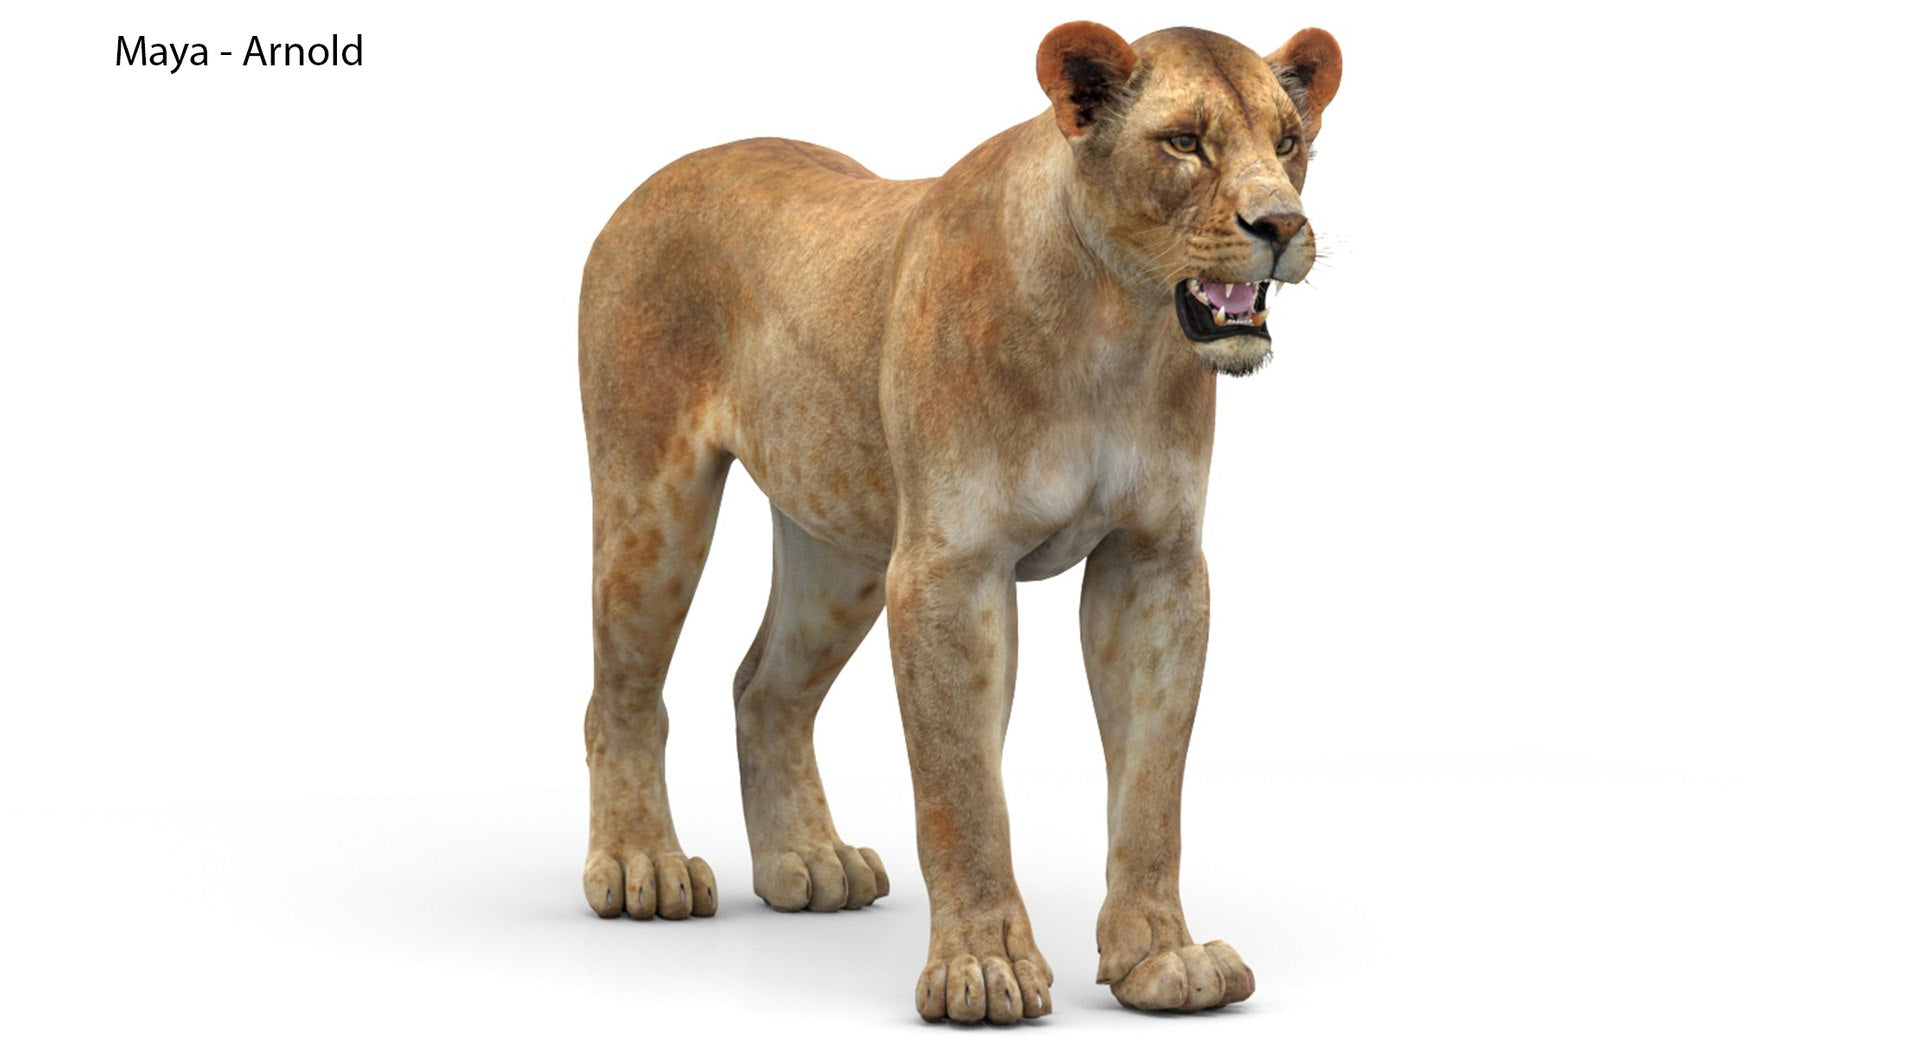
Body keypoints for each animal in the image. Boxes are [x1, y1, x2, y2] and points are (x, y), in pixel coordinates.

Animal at [576, 21, 1342, 1021]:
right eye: (1184, 142)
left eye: (1288, 142)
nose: (1282, 224)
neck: (1119, 333)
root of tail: (660, 175)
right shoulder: (950, 568)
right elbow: (962, 789)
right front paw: (983, 968)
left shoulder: (1157, 564)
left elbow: (1151, 786)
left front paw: (1161, 958)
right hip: (654, 504)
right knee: (621, 694)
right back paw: (640, 865)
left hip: (841, 547)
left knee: (763, 687)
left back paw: (808, 861)